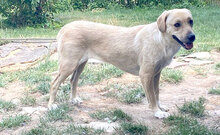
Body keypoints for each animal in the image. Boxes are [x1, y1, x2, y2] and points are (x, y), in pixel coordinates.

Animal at [47, 8, 194, 118]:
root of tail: (64, 28)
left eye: (191, 22)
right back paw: (51, 105)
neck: (160, 40)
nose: (193, 37)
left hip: (80, 64)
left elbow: (157, 93)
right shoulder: (146, 75)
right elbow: (151, 96)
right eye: (177, 24)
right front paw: (157, 112)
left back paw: (73, 99)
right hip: (69, 65)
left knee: (73, 81)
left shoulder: (156, 74)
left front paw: (160, 107)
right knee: (54, 83)